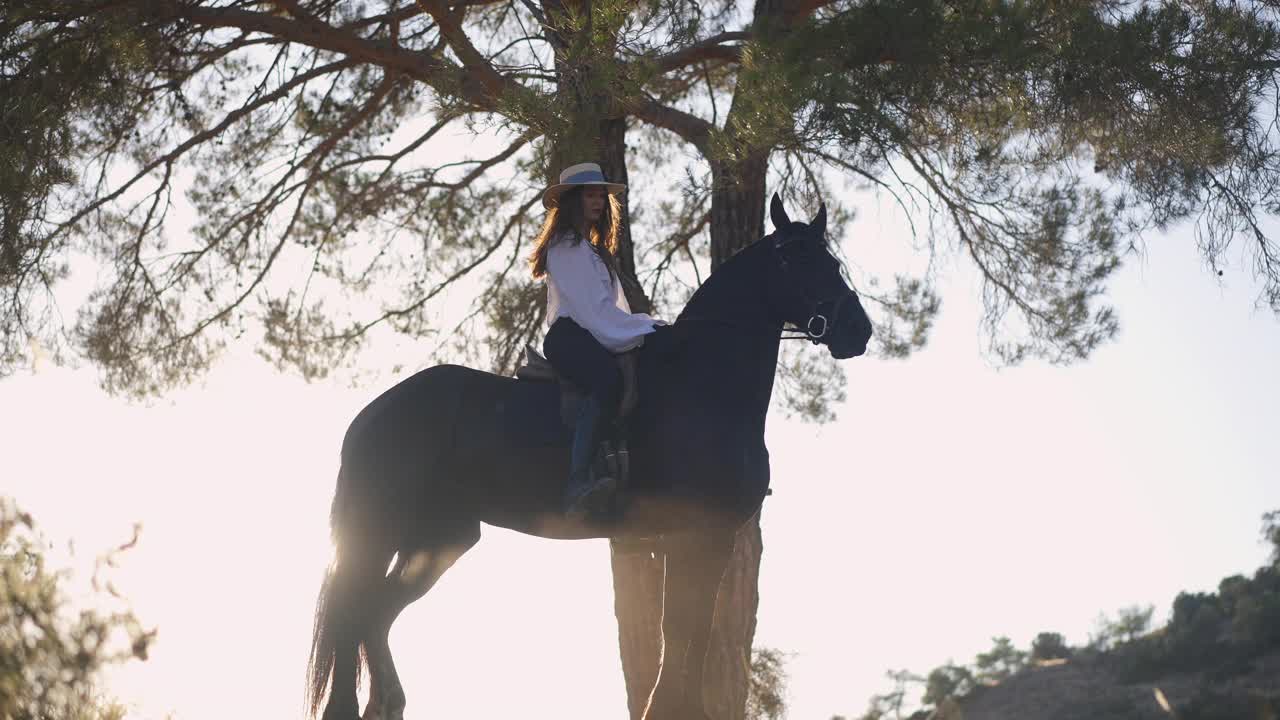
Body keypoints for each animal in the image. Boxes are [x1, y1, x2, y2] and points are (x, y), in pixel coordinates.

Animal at [304, 193, 875, 712]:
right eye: (794, 260)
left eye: (831, 262)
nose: (858, 330)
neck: (702, 387)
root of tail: (373, 415)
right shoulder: (696, 534)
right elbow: (684, 633)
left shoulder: (700, 538)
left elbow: (687, 634)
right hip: (381, 529)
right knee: (355, 614)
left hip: (439, 540)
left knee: (375, 616)